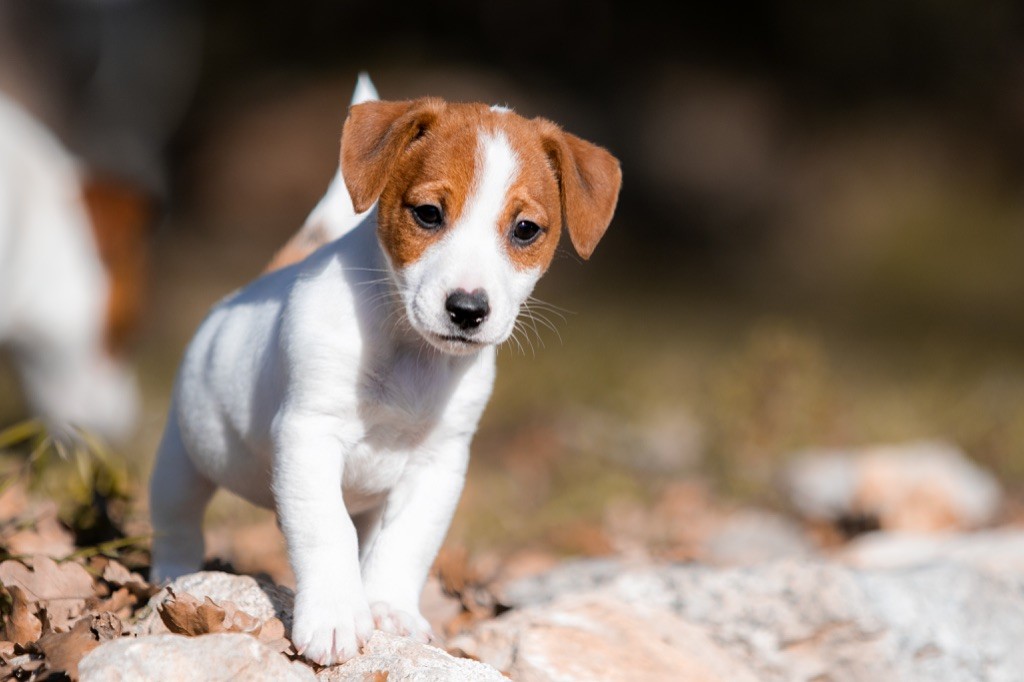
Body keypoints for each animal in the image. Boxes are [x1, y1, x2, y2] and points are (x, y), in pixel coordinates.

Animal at [148, 74, 618, 663]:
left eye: (527, 229)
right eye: (428, 213)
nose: (467, 310)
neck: (409, 352)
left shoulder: (438, 465)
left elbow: (404, 545)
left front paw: (390, 610)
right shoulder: (309, 435)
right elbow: (326, 531)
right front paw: (334, 617)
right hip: (182, 459)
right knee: (177, 522)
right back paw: (173, 573)